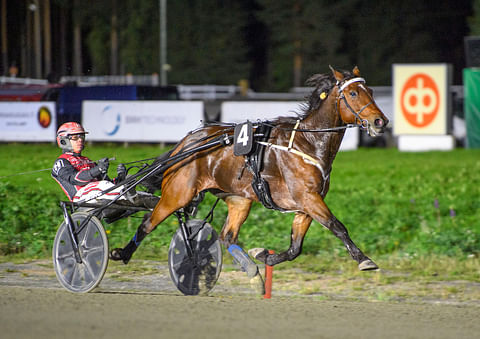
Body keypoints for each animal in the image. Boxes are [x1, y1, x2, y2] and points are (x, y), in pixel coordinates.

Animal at [111, 66, 390, 282]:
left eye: (371, 92)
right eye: (353, 93)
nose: (381, 122)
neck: (308, 143)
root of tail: (185, 143)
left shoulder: (306, 206)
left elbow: (295, 248)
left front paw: (264, 255)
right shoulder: (308, 198)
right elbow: (337, 226)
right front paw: (364, 260)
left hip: (239, 200)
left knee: (227, 236)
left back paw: (250, 267)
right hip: (178, 193)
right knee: (148, 223)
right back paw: (121, 253)